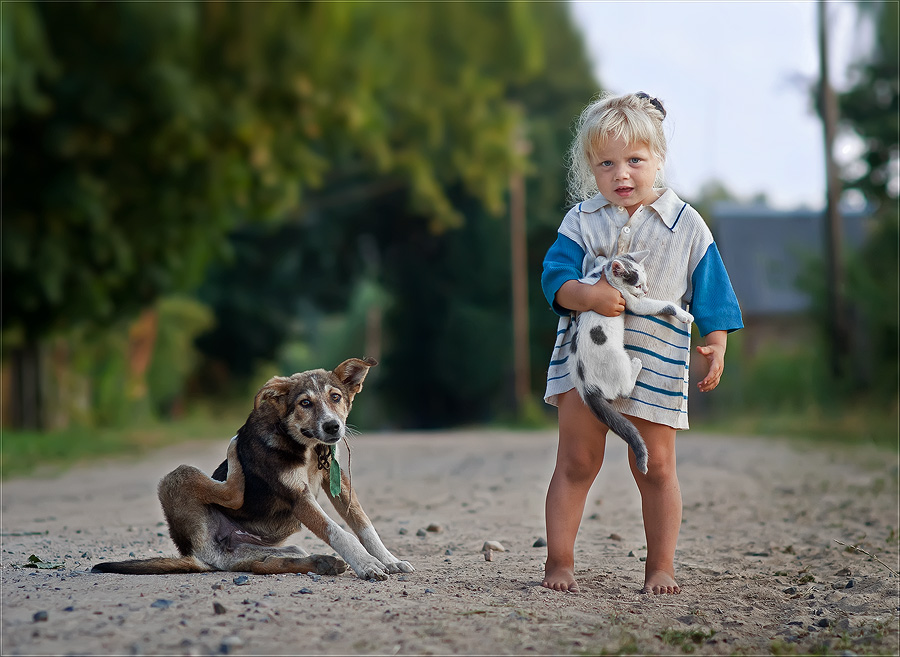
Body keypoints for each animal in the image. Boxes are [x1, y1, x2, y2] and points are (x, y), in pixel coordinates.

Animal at [91, 358, 414, 580]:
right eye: (305, 403)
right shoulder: (299, 498)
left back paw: (324, 563)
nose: (333, 427)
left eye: (336, 397)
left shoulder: (336, 482)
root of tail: (199, 555)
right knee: (234, 495)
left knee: (267, 564)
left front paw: (388, 560)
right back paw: (234, 449)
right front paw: (367, 564)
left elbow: (364, 526)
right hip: (177, 476)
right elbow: (339, 532)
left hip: (271, 550)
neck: (305, 446)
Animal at [572, 247, 692, 472]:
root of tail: (586, 388)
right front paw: (684, 315)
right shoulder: (632, 301)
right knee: (625, 391)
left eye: (645, 281)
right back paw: (636, 365)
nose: (645, 290)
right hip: (617, 359)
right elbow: (665, 305)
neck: (605, 279)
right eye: (637, 285)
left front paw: (601, 259)